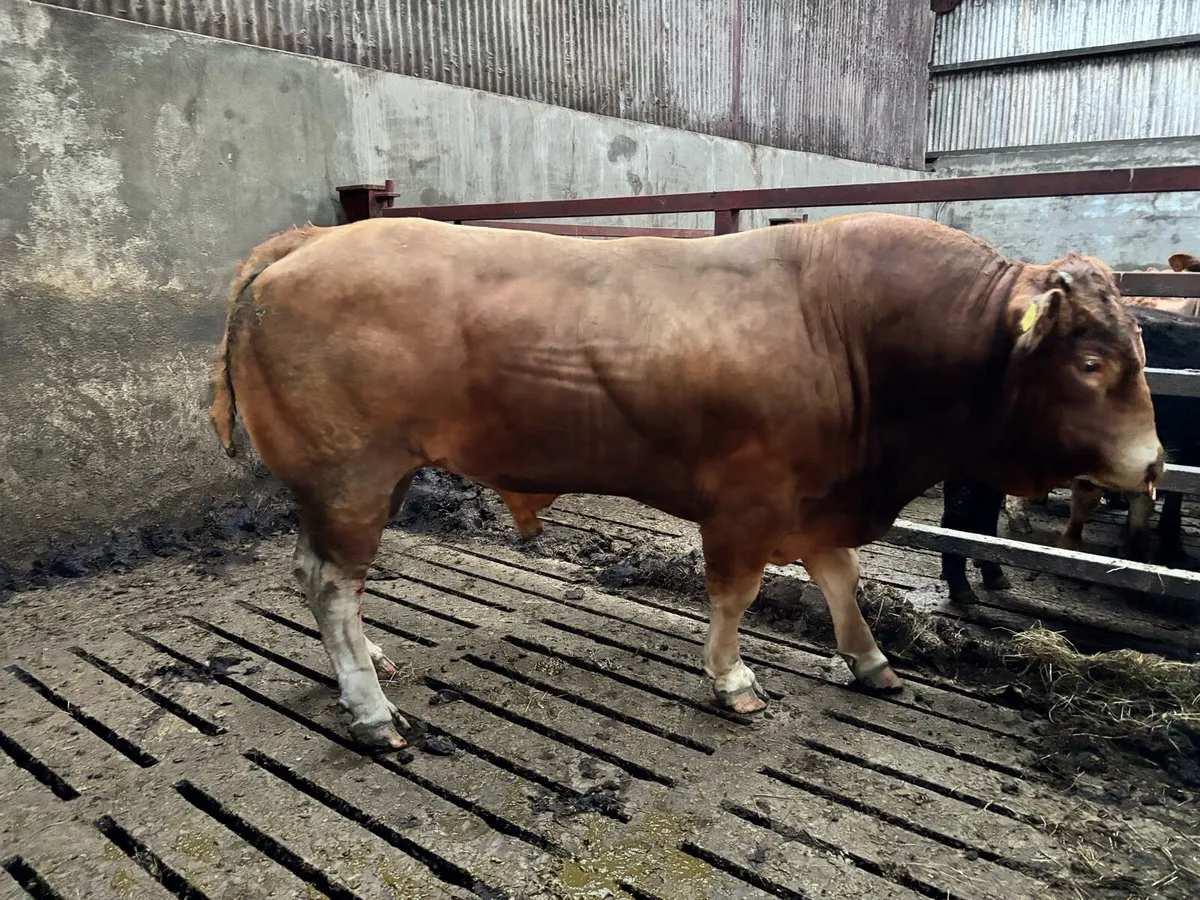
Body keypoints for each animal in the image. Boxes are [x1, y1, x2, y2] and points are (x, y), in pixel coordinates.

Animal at [211, 213, 1162, 752]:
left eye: (1142, 347)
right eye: (1088, 361)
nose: (1154, 462)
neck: (852, 330)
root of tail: (317, 239)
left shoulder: (817, 499)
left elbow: (842, 578)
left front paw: (869, 661)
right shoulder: (746, 502)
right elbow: (736, 595)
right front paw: (733, 682)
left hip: (366, 483)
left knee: (324, 579)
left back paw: (365, 663)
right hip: (350, 479)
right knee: (332, 584)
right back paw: (370, 709)